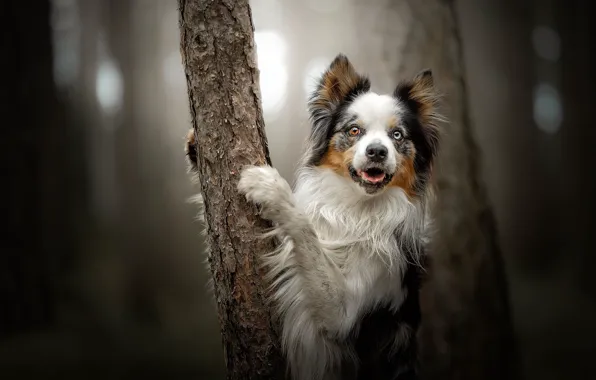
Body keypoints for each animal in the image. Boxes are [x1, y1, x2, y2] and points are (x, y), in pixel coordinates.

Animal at [186, 53, 442, 380]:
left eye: (397, 135)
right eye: (354, 130)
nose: (377, 152)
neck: (354, 207)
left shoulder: (344, 316)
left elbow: (307, 233)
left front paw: (271, 187)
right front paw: (195, 147)